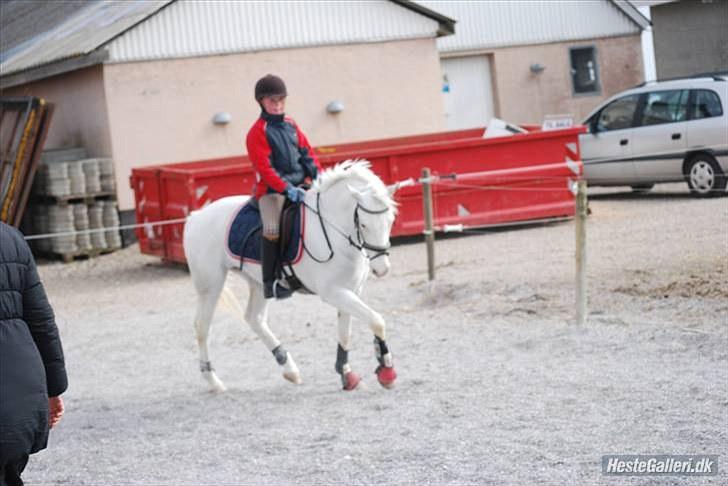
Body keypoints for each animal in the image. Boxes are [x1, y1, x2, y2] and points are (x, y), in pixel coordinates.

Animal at [181, 161, 398, 392]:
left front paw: (347, 374)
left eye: (391, 220)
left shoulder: (350, 290)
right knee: (202, 326)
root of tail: (195, 217)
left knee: (254, 319)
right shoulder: (333, 292)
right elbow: (376, 320)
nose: (382, 269)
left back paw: (290, 369)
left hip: (258, 283)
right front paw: (387, 371)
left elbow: (346, 332)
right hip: (211, 285)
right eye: (364, 224)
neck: (334, 230)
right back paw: (213, 380)